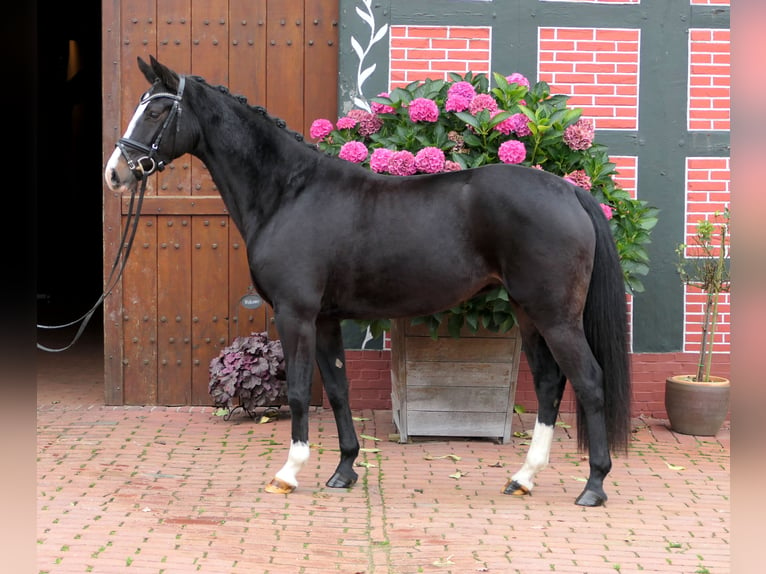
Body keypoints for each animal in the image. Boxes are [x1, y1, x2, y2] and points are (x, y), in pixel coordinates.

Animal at [106, 57, 632, 508]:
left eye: (156, 110)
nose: (115, 173)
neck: (289, 192)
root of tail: (569, 192)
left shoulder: (295, 315)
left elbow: (299, 390)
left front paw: (288, 473)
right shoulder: (324, 320)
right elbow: (339, 389)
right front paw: (344, 471)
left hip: (555, 316)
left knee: (588, 381)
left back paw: (594, 485)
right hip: (528, 313)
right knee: (548, 383)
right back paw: (523, 477)